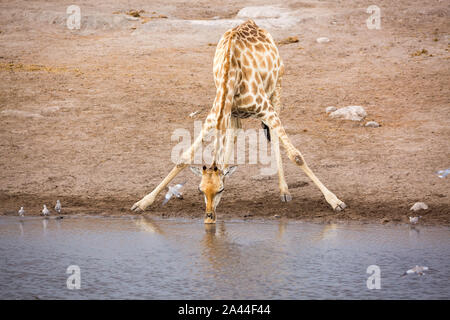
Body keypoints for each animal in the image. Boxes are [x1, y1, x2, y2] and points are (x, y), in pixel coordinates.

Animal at [132, 19, 346, 222]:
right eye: (201, 190)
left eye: (220, 190)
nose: (209, 217)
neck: (232, 74)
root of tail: (252, 22)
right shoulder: (214, 116)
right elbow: (184, 158)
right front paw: (142, 203)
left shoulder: (266, 109)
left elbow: (297, 156)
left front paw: (335, 201)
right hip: (234, 114)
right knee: (234, 136)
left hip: (277, 88)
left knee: (274, 136)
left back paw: (284, 191)